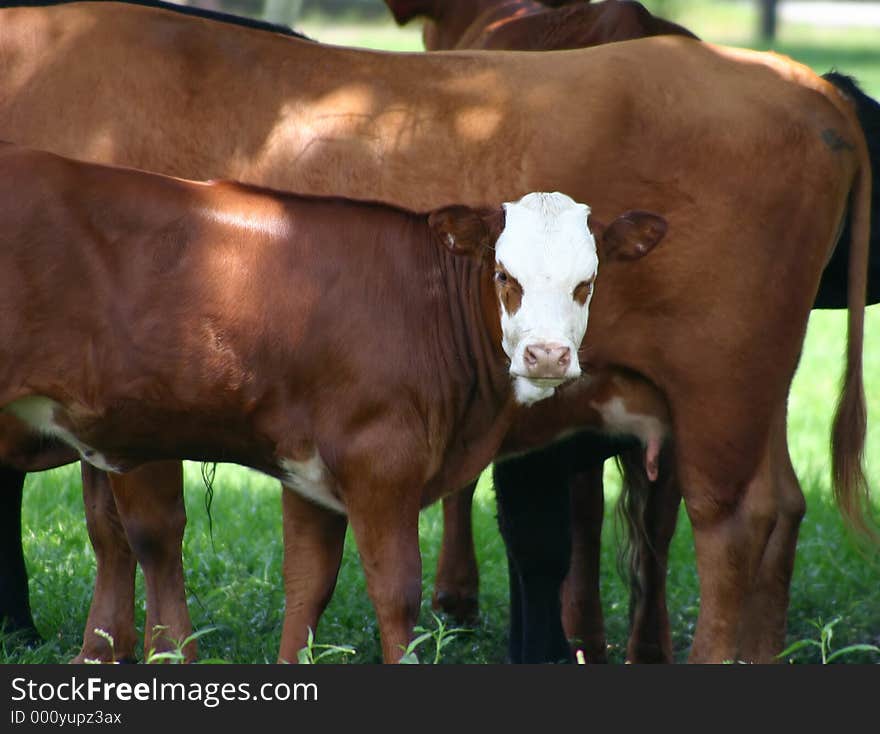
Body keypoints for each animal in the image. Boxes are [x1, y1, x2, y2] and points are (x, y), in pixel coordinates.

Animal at [0, 145, 660, 668]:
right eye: (503, 275)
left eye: (587, 282)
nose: (547, 356)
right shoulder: (379, 462)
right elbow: (395, 592)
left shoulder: (308, 470)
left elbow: (307, 584)